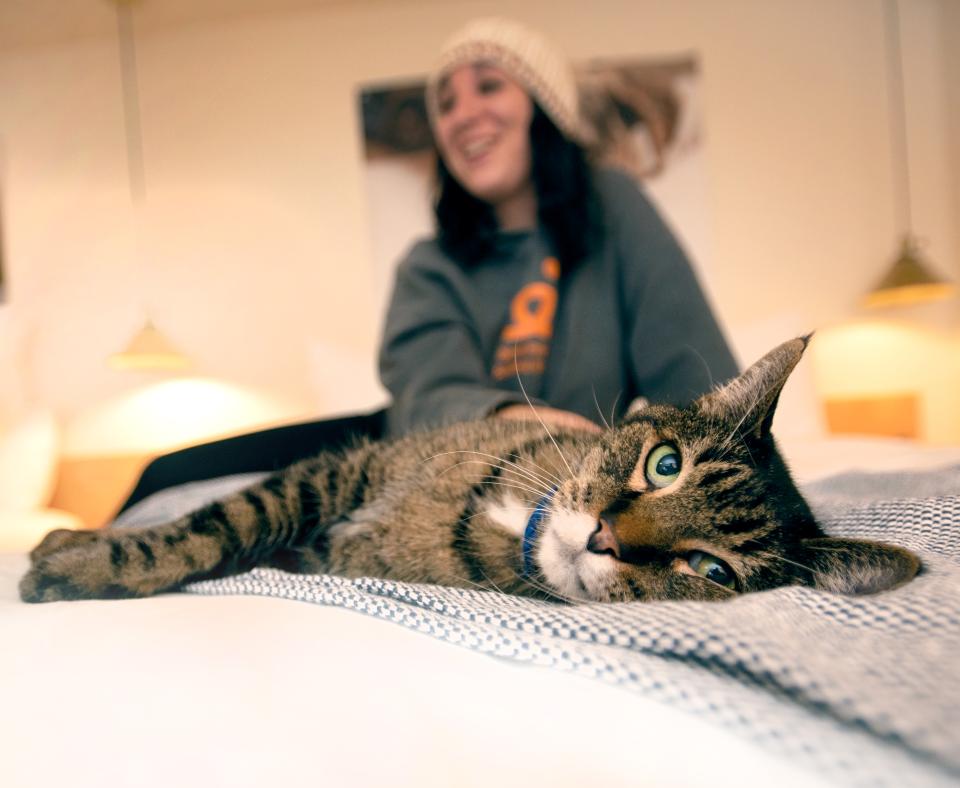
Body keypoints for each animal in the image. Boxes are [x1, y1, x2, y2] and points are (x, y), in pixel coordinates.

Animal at [18, 338, 924, 604]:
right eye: (665, 465)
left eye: (710, 570)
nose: (604, 537)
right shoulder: (334, 473)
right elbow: (215, 523)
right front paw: (82, 554)